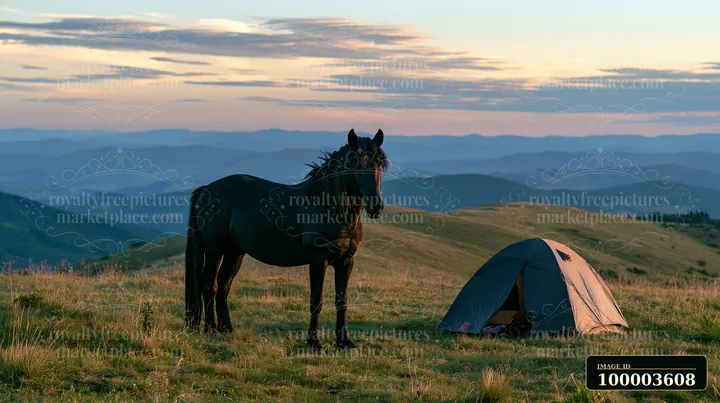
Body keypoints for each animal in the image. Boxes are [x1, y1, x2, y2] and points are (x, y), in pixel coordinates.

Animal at [185, 129, 388, 353]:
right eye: (355, 163)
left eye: (380, 164)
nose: (376, 206)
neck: (329, 207)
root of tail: (206, 190)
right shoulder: (318, 260)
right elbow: (316, 300)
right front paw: (314, 343)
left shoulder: (346, 262)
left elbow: (341, 301)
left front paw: (344, 342)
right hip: (214, 251)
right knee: (209, 285)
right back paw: (210, 329)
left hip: (234, 252)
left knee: (223, 285)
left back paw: (226, 329)